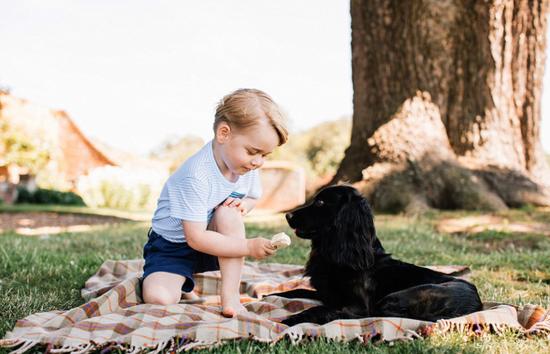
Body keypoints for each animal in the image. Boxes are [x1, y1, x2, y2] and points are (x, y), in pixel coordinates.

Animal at [274, 185, 486, 326]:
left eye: (320, 202)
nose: (287, 215)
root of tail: (476, 305)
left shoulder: (358, 305)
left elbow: (322, 308)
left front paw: (292, 319)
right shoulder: (326, 293)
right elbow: (293, 291)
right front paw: (271, 296)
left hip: (398, 297)